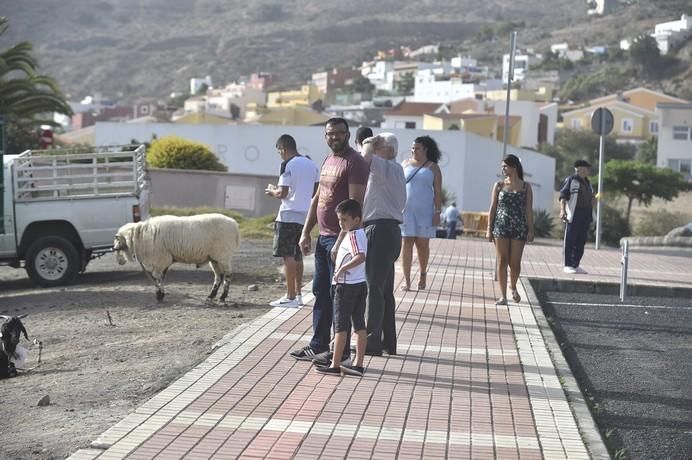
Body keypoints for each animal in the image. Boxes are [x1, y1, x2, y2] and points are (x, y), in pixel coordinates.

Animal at [113, 215, 241, 304]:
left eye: (118, 239)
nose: (113, 249)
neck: (140, 236)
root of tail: (234, 225)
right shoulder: (164, 261)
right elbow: (161, 278)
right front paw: (161, 294)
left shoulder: (160, 259)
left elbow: (157, 278)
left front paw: (159, 295)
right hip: (214, 258)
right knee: (218, 276)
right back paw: (211, 296)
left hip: (223, 255)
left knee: (228, 275)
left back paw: (222, 297)